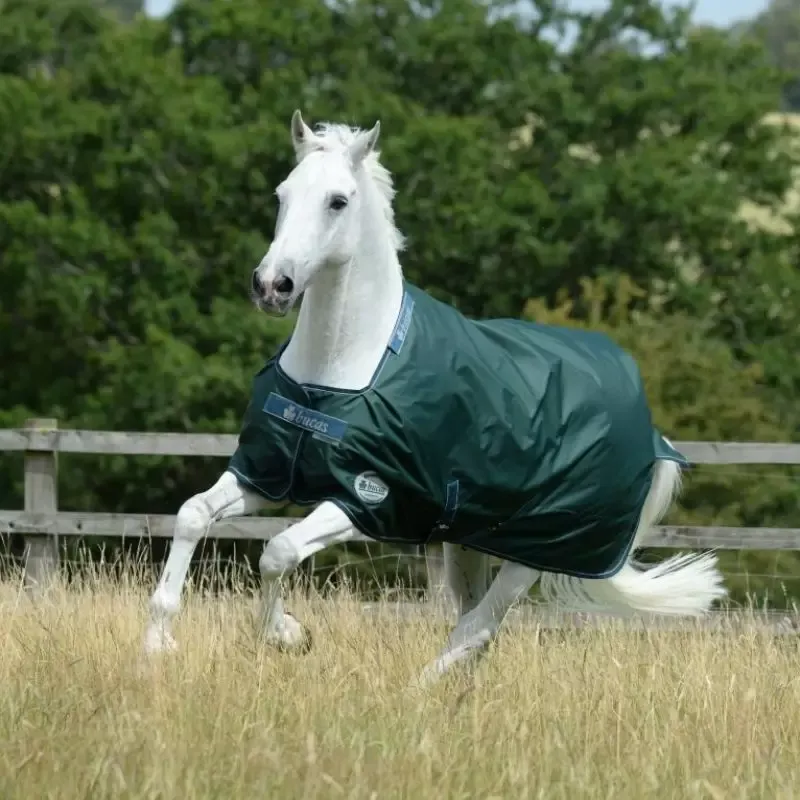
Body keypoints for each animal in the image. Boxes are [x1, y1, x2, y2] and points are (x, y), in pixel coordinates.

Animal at [143, 110, 727, 685]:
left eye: (338, 201)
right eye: (283, 193)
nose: (272, 286)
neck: (336, 374)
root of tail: (653, 437)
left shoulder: (370, 499)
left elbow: (278, 550)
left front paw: (288, 633)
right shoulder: (263, 473)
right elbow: (193, 515)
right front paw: (160, 642)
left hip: (535, 552)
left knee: (478, 628)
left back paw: (416, 694)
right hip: (470, 542)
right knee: (474, 626)